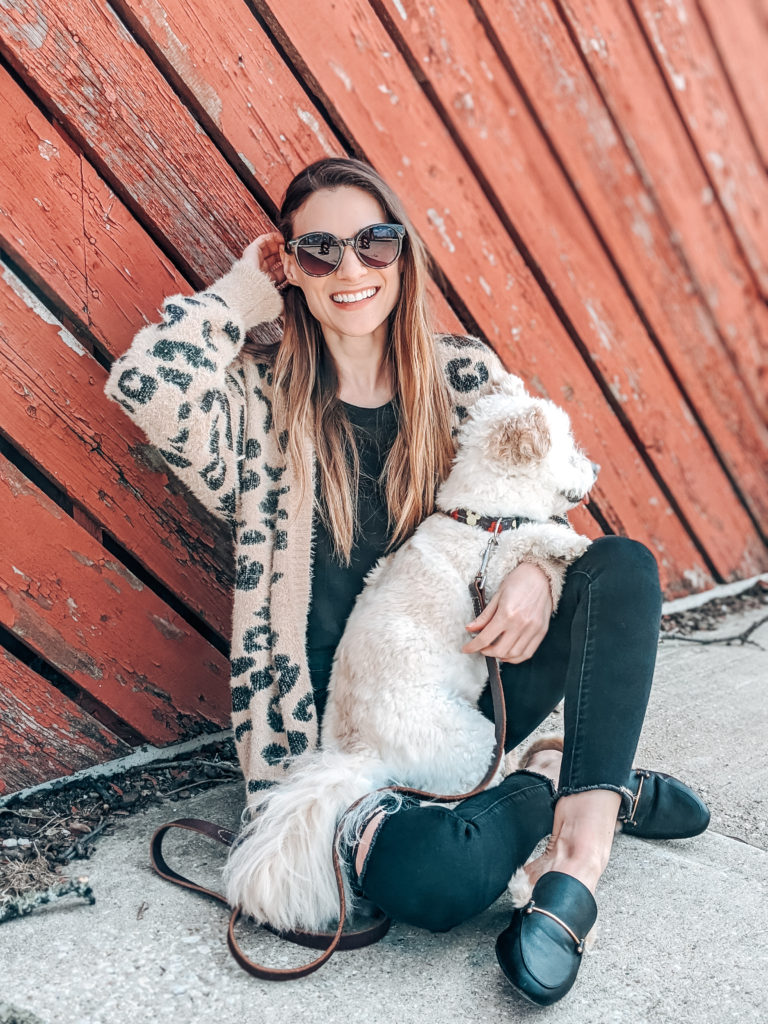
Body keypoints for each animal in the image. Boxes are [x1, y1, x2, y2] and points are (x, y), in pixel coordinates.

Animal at [225, 378, 598, 937]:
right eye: (569, 446)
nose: (594, 467)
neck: (481, 518)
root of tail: (362, 755)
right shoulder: (494, 572)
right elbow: (529, 537)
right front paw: (568, 539)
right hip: (474, 738)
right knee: (492, 787)